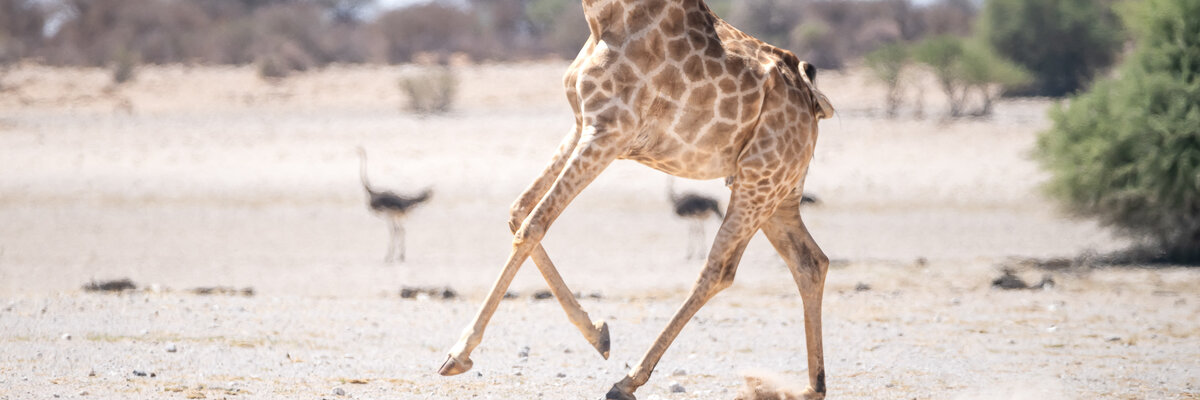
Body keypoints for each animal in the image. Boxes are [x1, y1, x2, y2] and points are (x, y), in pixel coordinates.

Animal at [438, 0, 835, 399]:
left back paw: (628, 380)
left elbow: (534, 224)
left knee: (718, 269)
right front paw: (598, 334)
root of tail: (813, 102)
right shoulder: (582, 124)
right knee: (810, 262)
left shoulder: (609, 130)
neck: (604, 18)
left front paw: (458, 354)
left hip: (759, 180)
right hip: (778, 191)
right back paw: (811, 387)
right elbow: (519, 210)